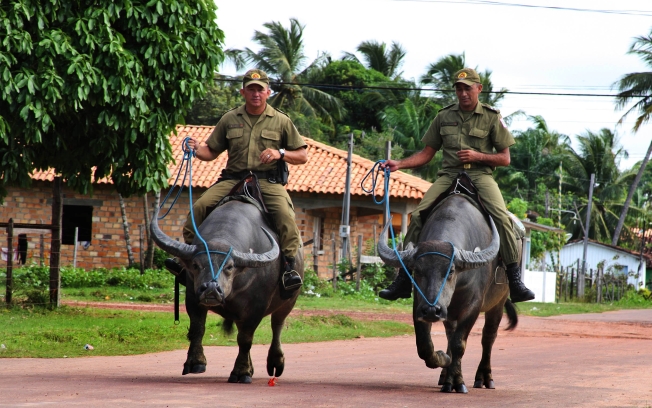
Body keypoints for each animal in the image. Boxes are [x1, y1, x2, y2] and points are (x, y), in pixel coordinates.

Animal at [151, 201, 304, 382]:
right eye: (195, 265)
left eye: (230, 267)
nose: (211, 289)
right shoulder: (193, 296)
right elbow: (197, 329)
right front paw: (195, 362)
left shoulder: (256, 307)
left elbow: (245, 339)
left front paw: (241, 372)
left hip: (289, 301)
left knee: (277, 325)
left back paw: (275, 362)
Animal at [380, 194, 516, 392]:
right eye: (417, 271)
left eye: (450, 271)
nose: (432, 310)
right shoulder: (419, 303)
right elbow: (424, 345)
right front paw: (443, 359)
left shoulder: (473, 306)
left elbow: (459, 343)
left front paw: (457, 382)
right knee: (450, 334)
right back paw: (445, 374)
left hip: (498, 303)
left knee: (488, 337)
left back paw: (484, 377)